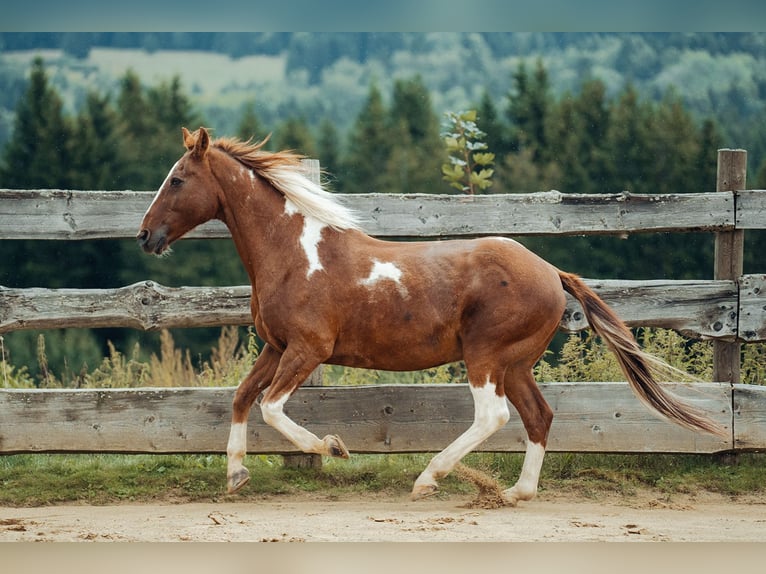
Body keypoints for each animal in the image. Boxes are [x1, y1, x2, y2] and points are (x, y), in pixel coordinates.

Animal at [137, 127, 725, 505]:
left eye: (177, 180)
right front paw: (236, 475)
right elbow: (241, 399)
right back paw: (516, 492)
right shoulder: (276, 346)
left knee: (494, 416)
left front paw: (332, 446)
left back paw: (430, 478)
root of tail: (551, 271)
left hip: (486, 355)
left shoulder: (308, 349)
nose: (145, 235)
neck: (293, 252)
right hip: (515, 363)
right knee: (538, 416)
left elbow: (271, 408)